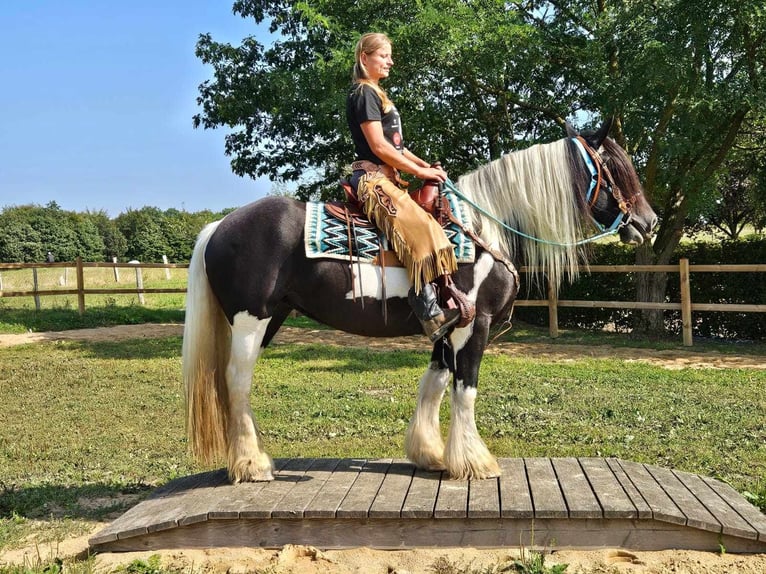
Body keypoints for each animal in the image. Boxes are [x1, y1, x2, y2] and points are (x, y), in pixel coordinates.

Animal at [183, 122, 656, 486]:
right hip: (251, 320)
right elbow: (466, 390)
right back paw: (252, 465)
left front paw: (431, 454)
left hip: (271, 317)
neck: (484, 228)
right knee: (237, 382)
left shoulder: (446, 326)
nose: (649, 223)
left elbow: (434, 384)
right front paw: (476, 462)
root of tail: (220, 225)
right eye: (615, 168)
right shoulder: (474, 324)